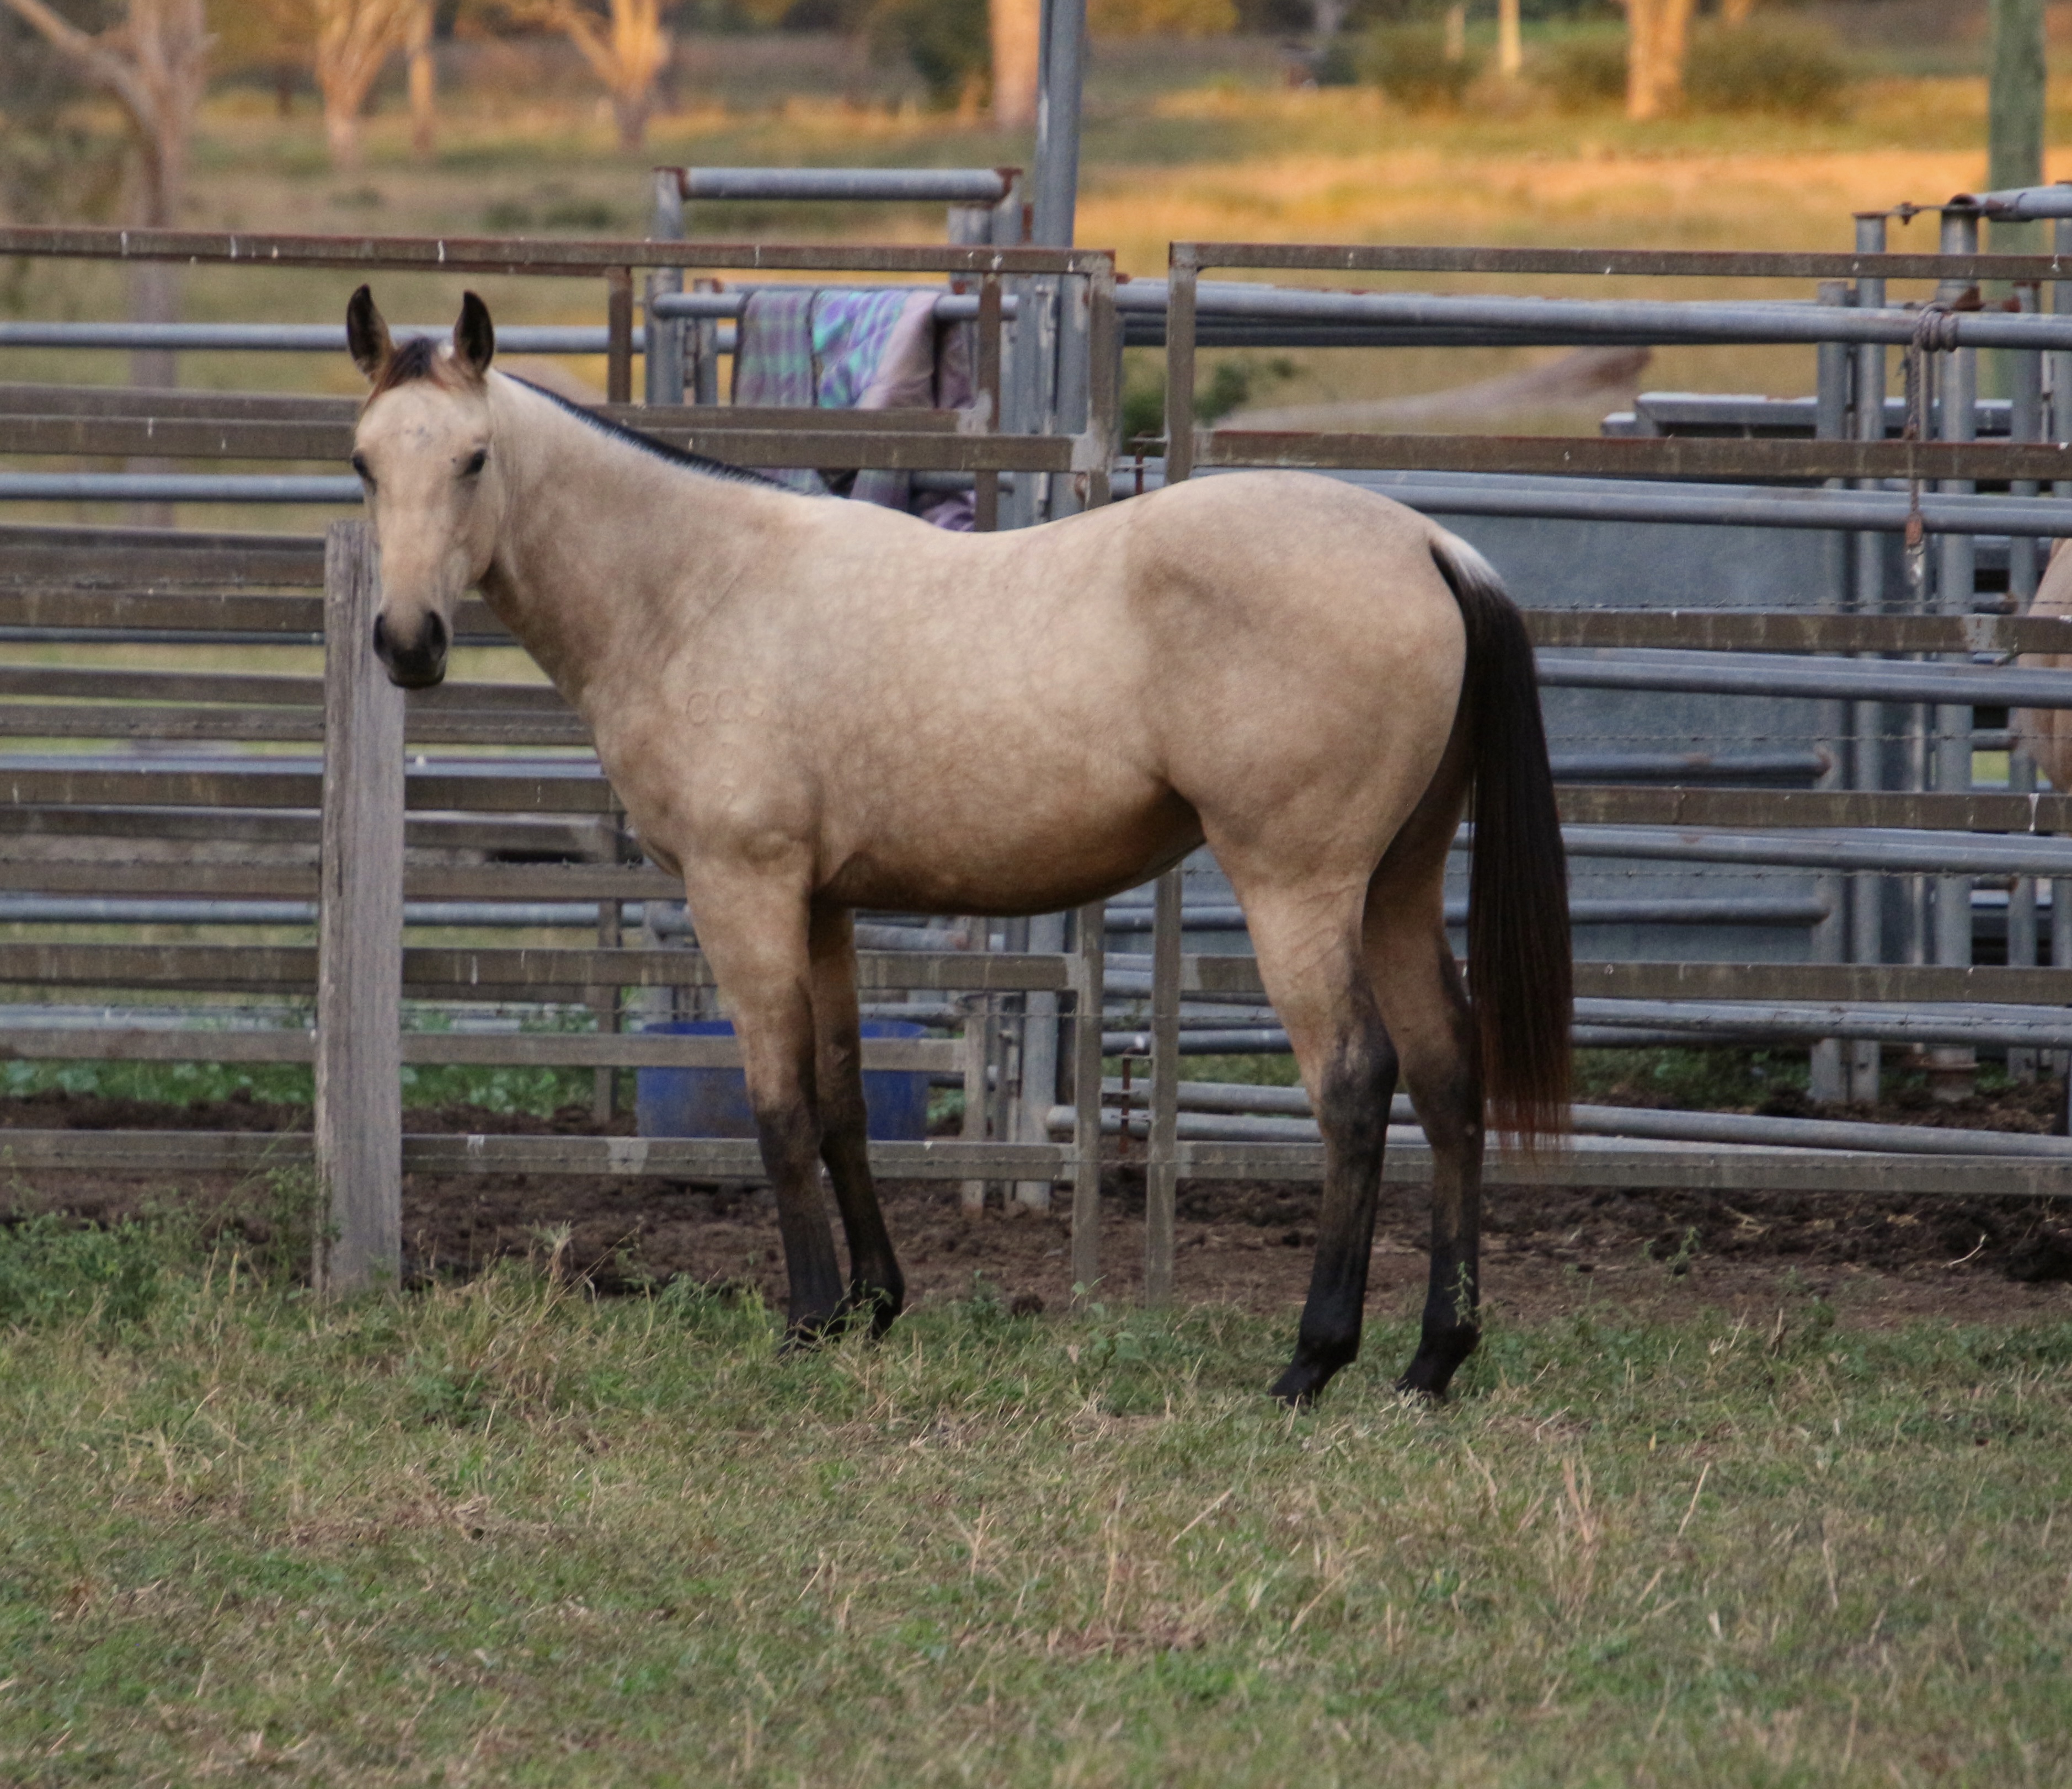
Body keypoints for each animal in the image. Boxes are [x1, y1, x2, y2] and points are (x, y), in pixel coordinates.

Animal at [343, 286, 1572, 1405]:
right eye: (363, 465)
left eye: (475, 458)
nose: (407, 642)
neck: (698, 590)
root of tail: (1428, 542)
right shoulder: (824, 905)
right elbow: (841, 1095)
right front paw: (871, 1305)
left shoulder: (744, 892)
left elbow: (778, 1108)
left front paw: (806, 1320)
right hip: (1398, 885)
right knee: (1449, 1077)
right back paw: (1433, 1359)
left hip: (1300, 889)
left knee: (1357, 1083)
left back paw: (1314, 1359)